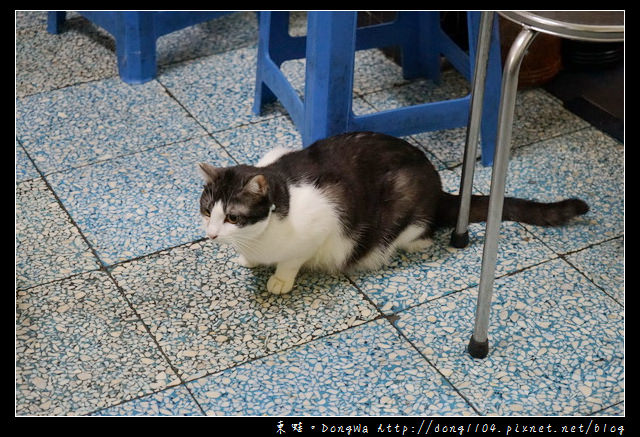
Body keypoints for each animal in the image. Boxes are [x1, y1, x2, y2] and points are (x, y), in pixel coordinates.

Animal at [198, 129, 588, 292]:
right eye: (206, 210)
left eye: (233, 217)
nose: (212, 235)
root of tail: (438, 186)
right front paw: (248, 261)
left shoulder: (325, 220)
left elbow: (293, 259)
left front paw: (280, 279)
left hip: (405, 199)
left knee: (421, 229)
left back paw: (415, 243)